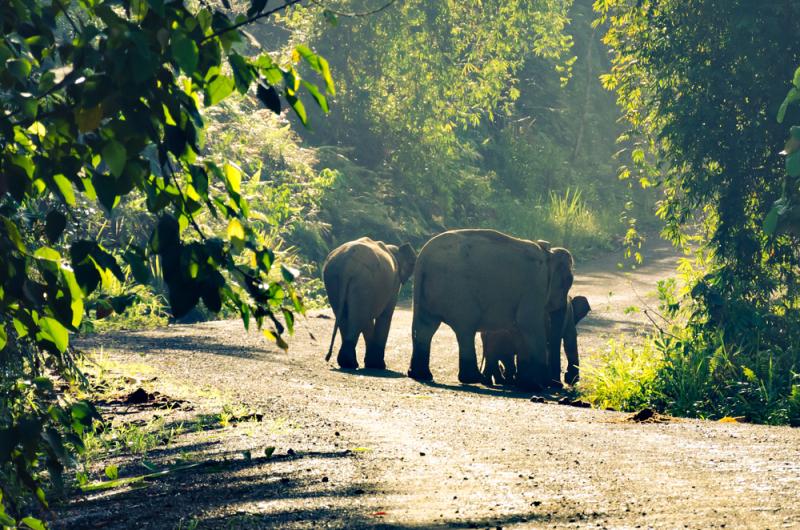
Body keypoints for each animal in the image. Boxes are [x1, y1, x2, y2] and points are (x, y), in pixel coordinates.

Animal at [324, 237, 418, 370]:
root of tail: (347, 265)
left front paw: (372, 364)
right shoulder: (394, 283)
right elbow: (385, 316)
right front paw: (378, 366)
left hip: (334, 278)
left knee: (348, 316)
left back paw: (347, 363)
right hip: (364, 281)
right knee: (359, 317)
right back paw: (351, 364)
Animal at [406, 227, 576, 388]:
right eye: (569, 281)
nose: (559, 384)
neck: (548, 254)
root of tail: (422, 259)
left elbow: (519, 328)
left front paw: (526, 383)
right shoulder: (535, 286)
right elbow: (528, 323)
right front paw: (535, 386)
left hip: (429, 293)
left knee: (426, 327)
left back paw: (421, 375)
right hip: (458, 291)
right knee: (465, 327)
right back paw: (474, 379)